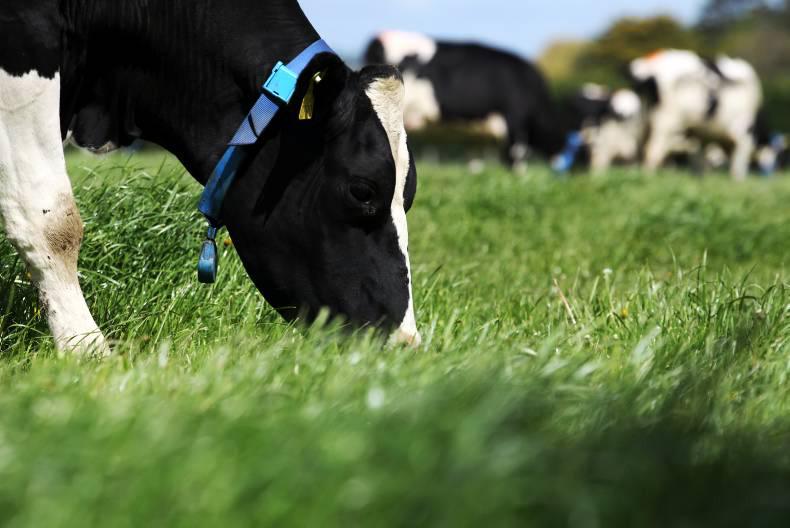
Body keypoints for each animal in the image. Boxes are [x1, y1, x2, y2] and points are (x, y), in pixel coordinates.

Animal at [630, 49, 764, 180]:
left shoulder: (700, 135)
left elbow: (699, 162)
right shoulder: (743, 133)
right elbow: (738, 166)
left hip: (644, 123)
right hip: (666, 122)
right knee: (653, 151)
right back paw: (648, 177)